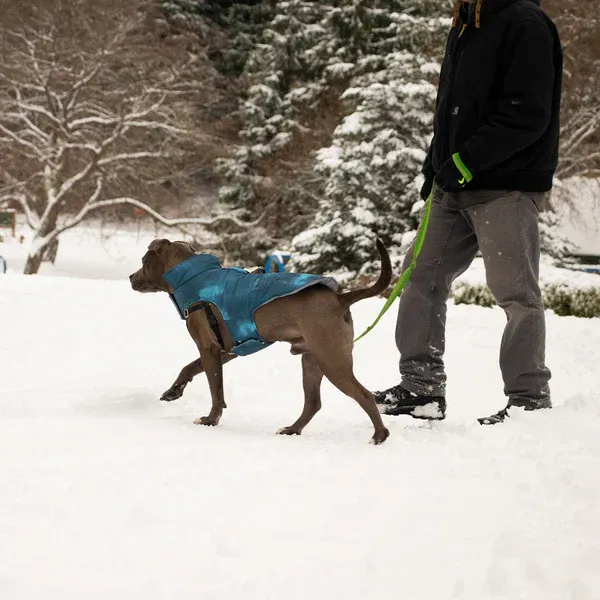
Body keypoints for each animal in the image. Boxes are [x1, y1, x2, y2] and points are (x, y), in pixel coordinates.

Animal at [131, 240, 392, 446]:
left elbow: (216, 390)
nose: (131, 277)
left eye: (144, 260)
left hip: (332, 361)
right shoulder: (227, 349)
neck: (191, 277)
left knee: (365, 395)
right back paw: (291, 430)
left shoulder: (209, 348)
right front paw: (173, 391)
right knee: (313, 403)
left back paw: (379, 436)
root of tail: (339, 298)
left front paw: (210, 420)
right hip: (312, 360)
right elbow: (190, 367)